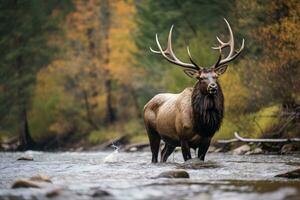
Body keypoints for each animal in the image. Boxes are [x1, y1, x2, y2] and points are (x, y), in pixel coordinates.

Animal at [143, 18, 244, 162]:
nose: (213, 87)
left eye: (216, 76)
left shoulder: (207, 140)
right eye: (201, 78)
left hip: (170, 140)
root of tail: (146, 104)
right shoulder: (183, 138)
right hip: (152, 132)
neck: (201, 125)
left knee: (164, 154)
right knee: (154, 156)